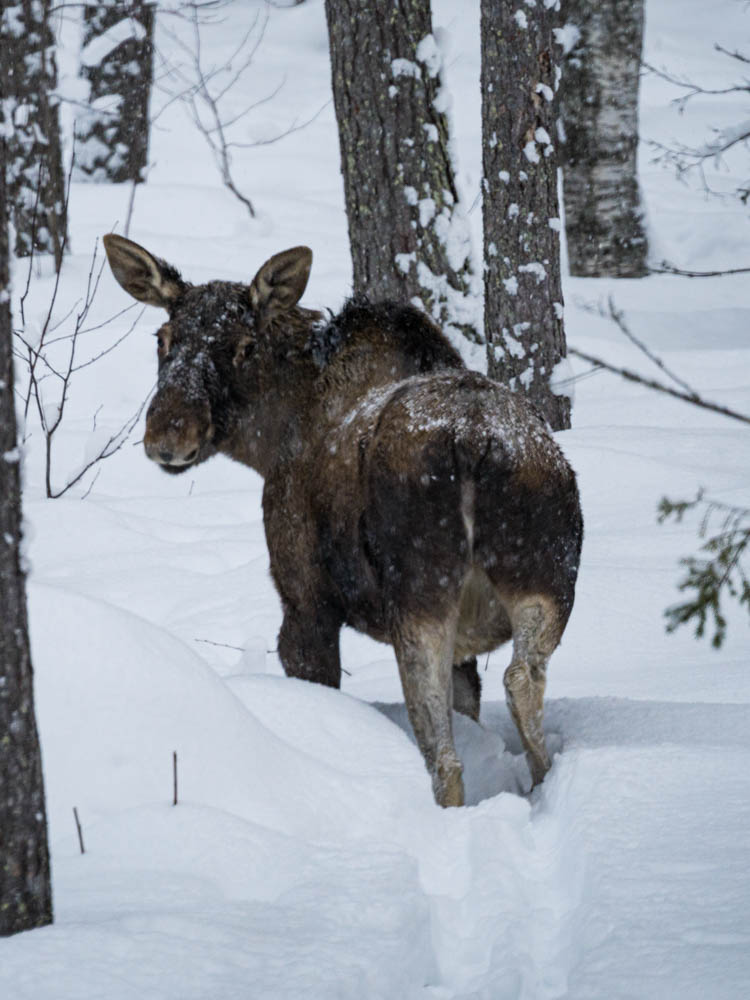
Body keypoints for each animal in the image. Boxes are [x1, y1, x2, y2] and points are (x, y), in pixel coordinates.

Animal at [103, 236, 584, 812]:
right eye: (163, 338)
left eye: (245, 346)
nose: (169, 434)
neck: (269, 441)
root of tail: (477, 442)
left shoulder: (304, 599)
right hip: (548, 580)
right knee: (522, 677)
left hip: (419, 594)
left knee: (445, 753)